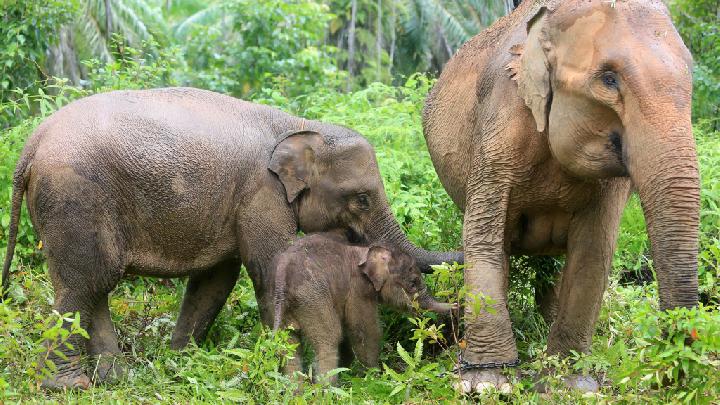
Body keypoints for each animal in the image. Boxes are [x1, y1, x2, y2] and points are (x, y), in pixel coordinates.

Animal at [272, 230, 452, 382]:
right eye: (413, 282)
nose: (456, 305)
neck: (365, 251)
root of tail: (283, 281)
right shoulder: (358, 289)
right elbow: (366, 331)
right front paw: (374, 377)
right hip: (313, 299)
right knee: (329, 339)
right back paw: (328, 391)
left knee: (289, 345)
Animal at [424, 0, 700, 392]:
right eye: (609, 79)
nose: (667, 372)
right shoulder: (499, 123)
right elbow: (482, 235)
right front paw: (489, 383)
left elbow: (593, 250)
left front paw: (569, 384)